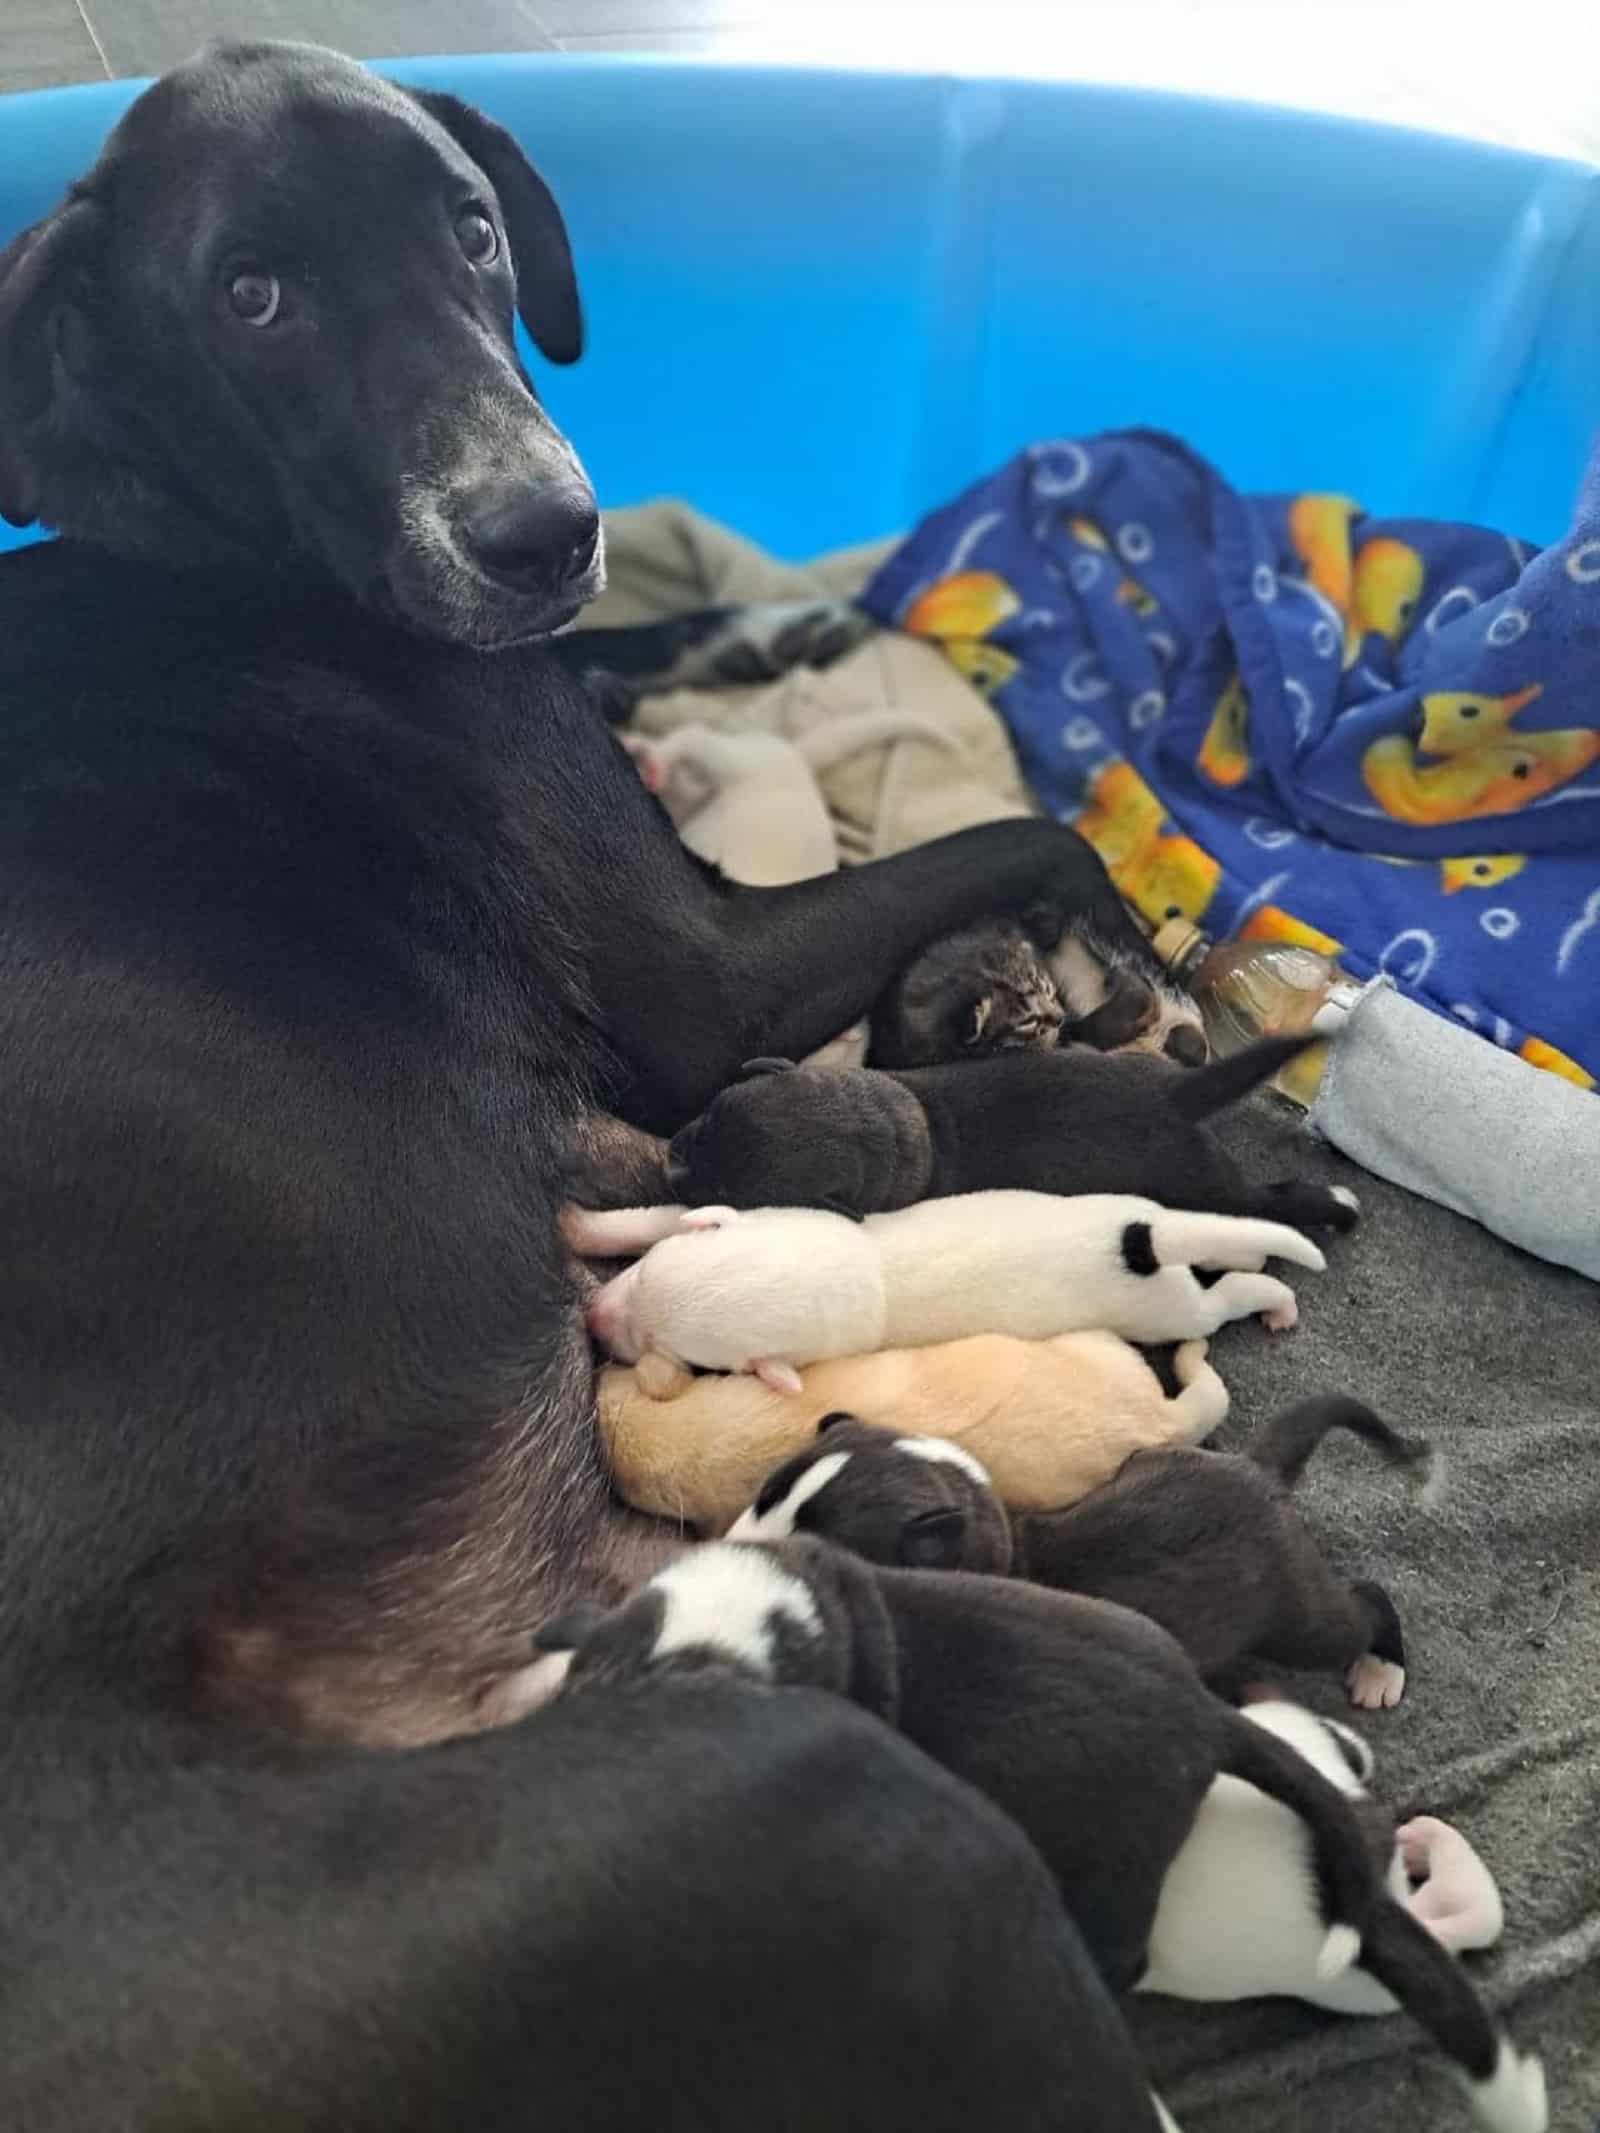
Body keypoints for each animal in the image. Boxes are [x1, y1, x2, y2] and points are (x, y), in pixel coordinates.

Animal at [0, 41, 1194, 2133]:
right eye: (254, 295)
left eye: (472, 225)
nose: (539, 530)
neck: (197, 538)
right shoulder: (705, 975)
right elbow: (1032, 822)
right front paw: (1119, 946)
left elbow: (653, 650)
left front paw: (748, 626)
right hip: (826, 1804)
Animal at [576, 1185, 1331, 1382]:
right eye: (642, 1271)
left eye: (679, 1355)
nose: (590, 1320)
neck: (863, 1268)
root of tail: (1138, 1241)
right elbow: (659, 1212)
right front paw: (579, 1224)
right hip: (1151, 1222)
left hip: (1164, 1311)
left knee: (1218, 1302)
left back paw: (1281, 1304)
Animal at [665, 1036, 1365, 1237]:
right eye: (708, 1115)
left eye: (737, 1190)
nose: (672, 1164)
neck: (909, 1123)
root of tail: (1175, 1095)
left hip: (1200, 1184)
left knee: (1262, 1200)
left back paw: (1335, 1205)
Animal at [733, 1399, 1425, 1714]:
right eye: (763, 1495)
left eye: (815, 1542)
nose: (730, 1547)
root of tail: (1255, 1470)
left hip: (1296, 1616)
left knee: (1362, 1604)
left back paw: (1380, 1669)